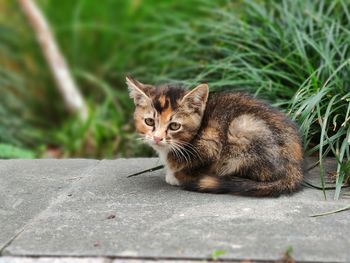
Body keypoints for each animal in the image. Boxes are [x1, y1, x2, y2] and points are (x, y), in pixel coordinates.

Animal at [126, 75, 304, 197]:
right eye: (149, 121)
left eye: (174, 126)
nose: (157, 138)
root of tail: (295, 169)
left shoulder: (211, 142)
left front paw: (176, 176)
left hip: (241, 126)